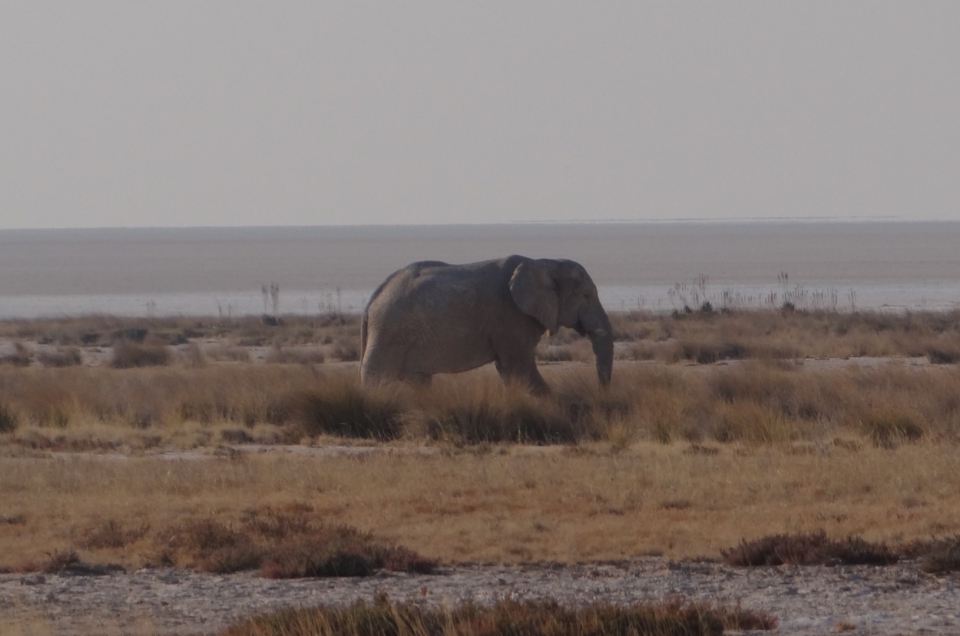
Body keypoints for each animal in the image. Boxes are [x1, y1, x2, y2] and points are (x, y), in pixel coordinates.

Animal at [359, 255, 613, 394]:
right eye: (586, 295)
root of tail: (371, 301)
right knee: (374, 379)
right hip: (389, 332)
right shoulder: (509, 315)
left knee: (419, 381)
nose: (601, 392)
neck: (545, 262)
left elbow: (509, 370)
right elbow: (520, 367)